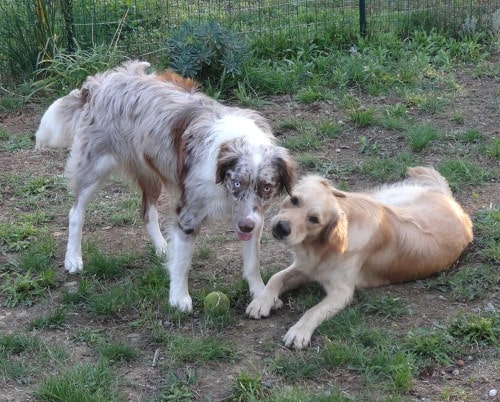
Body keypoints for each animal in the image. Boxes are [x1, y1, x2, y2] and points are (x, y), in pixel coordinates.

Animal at [248, 166, 474, 348]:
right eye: (294, 200)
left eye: (314, 219)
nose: (281, 227)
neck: (320, 246)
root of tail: (449, 198)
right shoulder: (305, 268)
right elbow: (276, 277)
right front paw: (262, 301)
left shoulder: (342, 292)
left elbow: (313, 310)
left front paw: (299, 331)